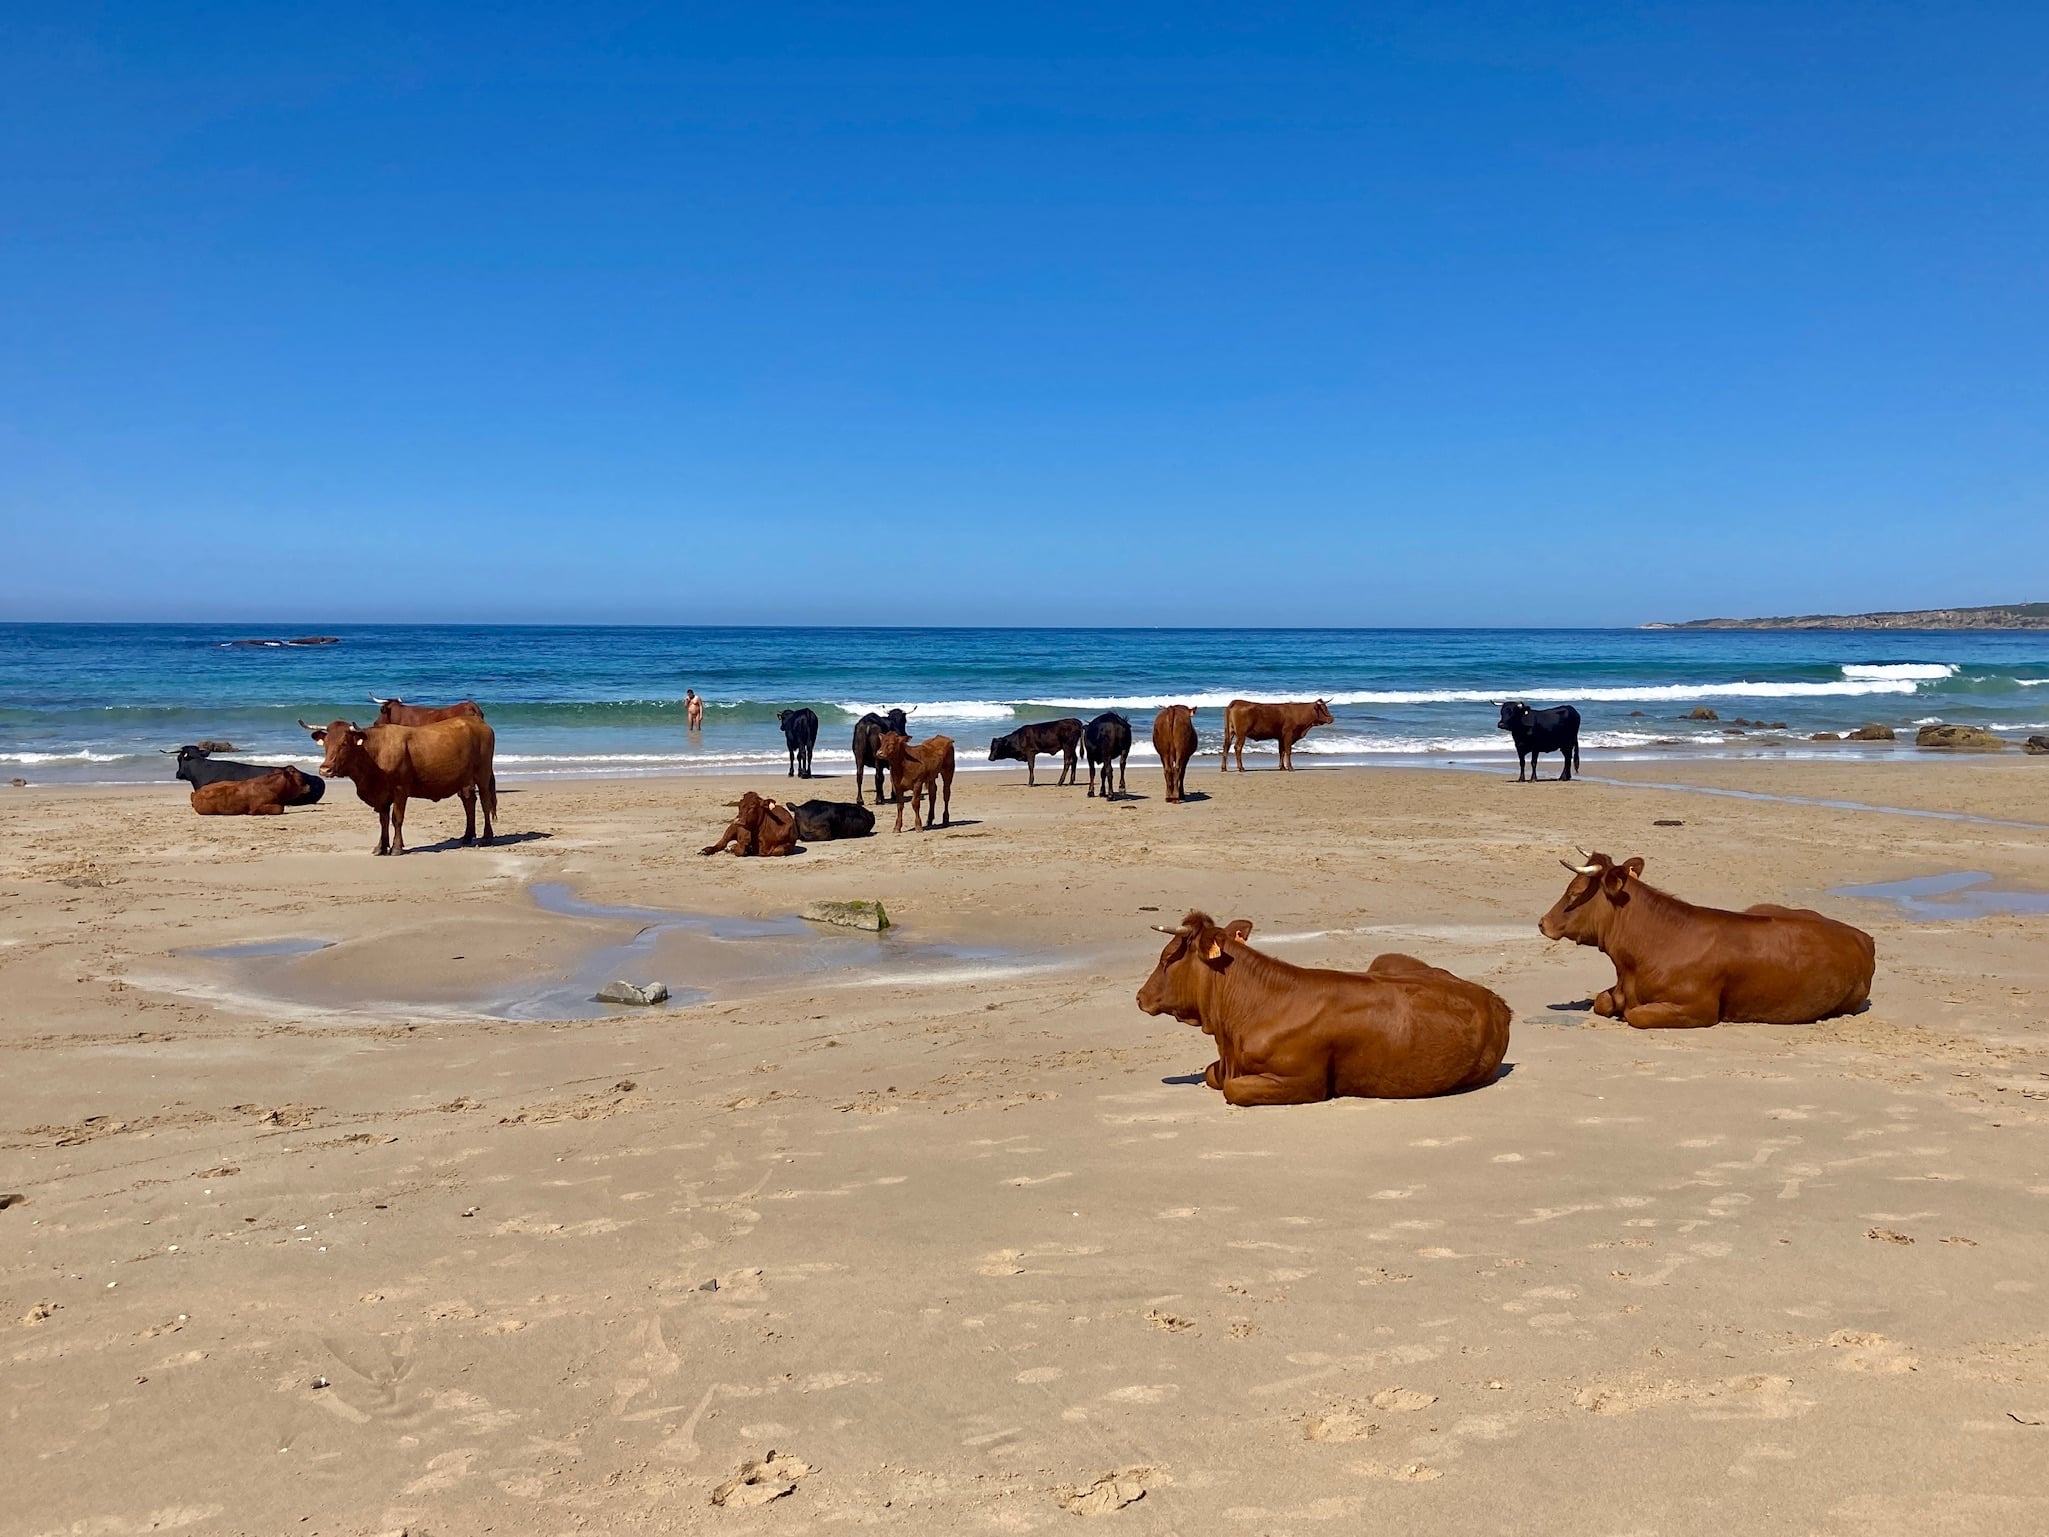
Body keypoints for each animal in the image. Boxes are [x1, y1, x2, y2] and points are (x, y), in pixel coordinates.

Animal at [301, 715, 497, 855]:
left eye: (344, 743)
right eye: (326, 744)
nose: (325, 769)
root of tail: (477, 722)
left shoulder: (400, 790)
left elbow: (396, 819)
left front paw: (396, 848)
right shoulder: (381, 795)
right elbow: (383, 820)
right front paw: (380, 847)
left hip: (483, 773)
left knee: (485, 802)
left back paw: (487, 837)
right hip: (464, 780)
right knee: (469, 802)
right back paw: (467, 837)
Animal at [1137, 912, 1511, 1105]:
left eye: (1167, 958)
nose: (1140, 997)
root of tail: (1495, 1000)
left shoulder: (1305, 1082)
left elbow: (1231, 1087)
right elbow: (1214, 1074)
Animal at [1539, 849, 1876, 1029]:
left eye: (1575, 892)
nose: (1542, 923)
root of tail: (1861, 935)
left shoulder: (1698, 1008)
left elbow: (1634, 1014)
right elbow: (1603, 1001)